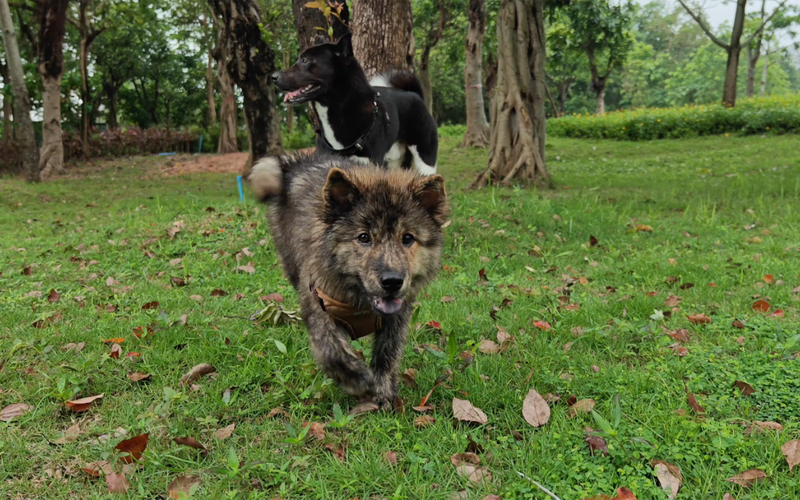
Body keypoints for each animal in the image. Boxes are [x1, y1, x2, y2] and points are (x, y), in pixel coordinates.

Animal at [248, 152, 446, 406]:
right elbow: (331, 351)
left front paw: (384, 391)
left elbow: (388, 353)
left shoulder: (398, 315)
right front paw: (357, 381)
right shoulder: (317, 303)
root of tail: (294, 164)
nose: (392, 281)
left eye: (408, 238)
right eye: (364, 237)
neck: (359, 301)